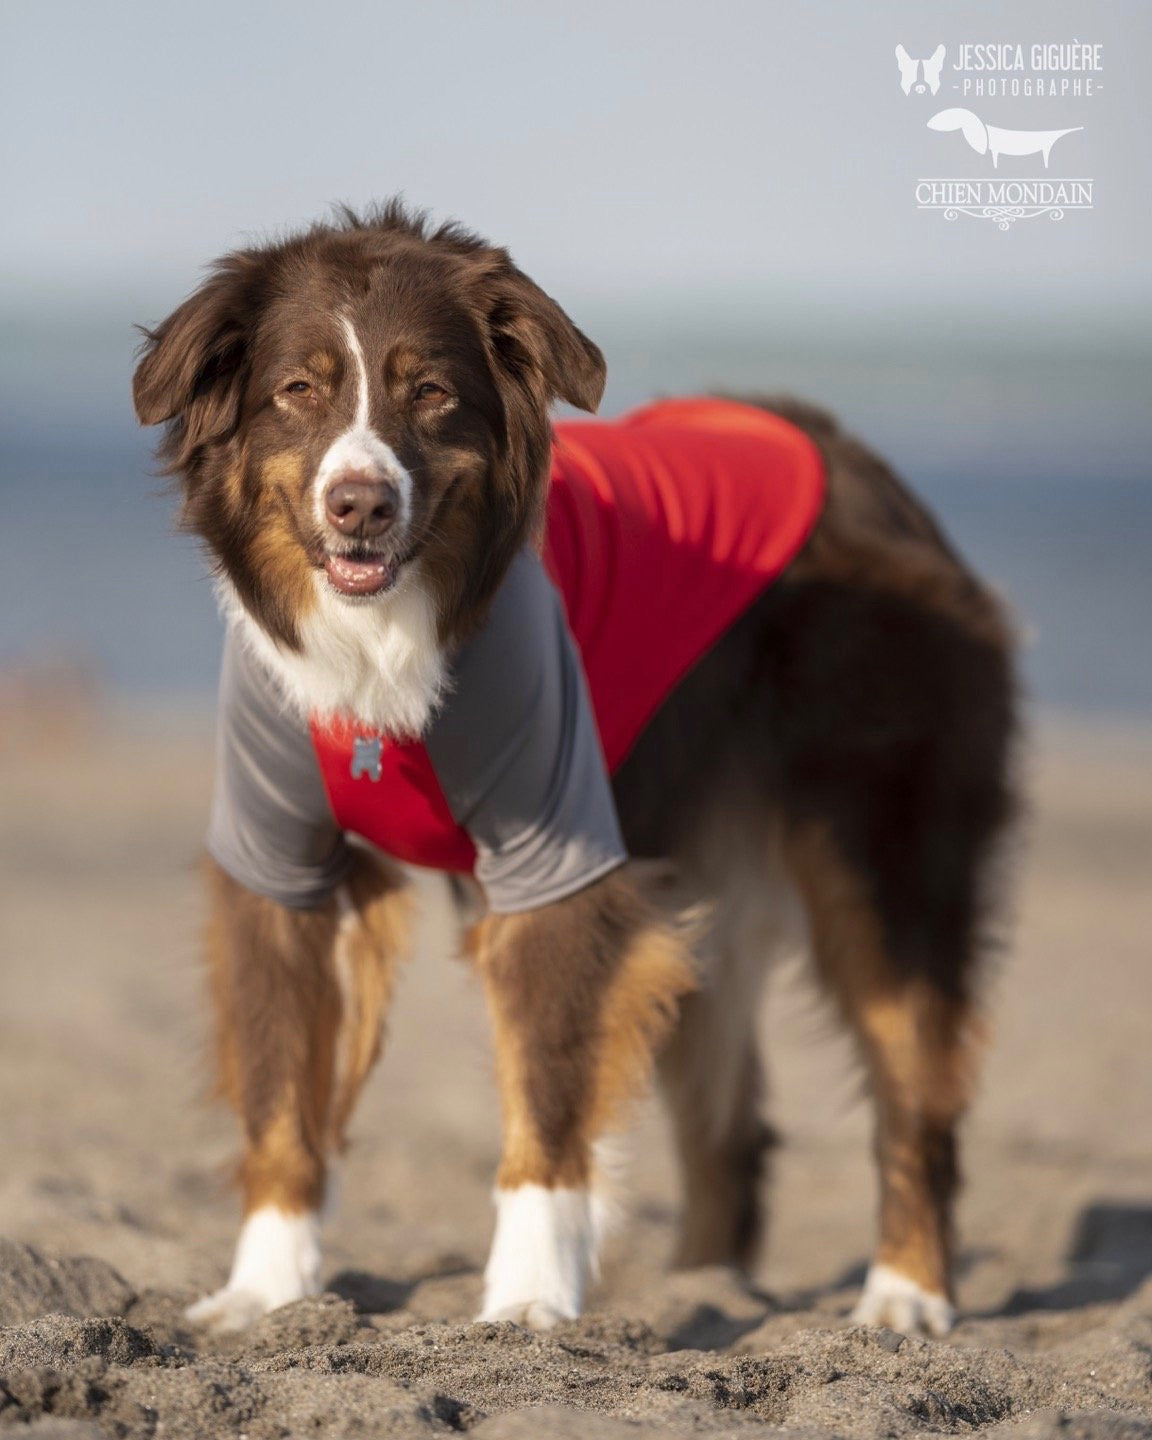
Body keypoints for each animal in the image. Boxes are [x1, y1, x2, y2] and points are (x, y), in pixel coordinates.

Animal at [137, 203, 1019, 1336]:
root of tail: (876, 475)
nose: (360, 505)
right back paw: (705, 1290)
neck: (385, 649)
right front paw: (265, 1290)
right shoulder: (274, 860)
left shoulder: (558, 857)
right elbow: (282, 1082)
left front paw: (527, 1300)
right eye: (298, 389)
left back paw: (907, 1294)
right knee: (732, 1123)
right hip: (694, 860)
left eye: (432, 392)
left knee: (916, 1092)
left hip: (881, 848)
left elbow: (548, 1091)